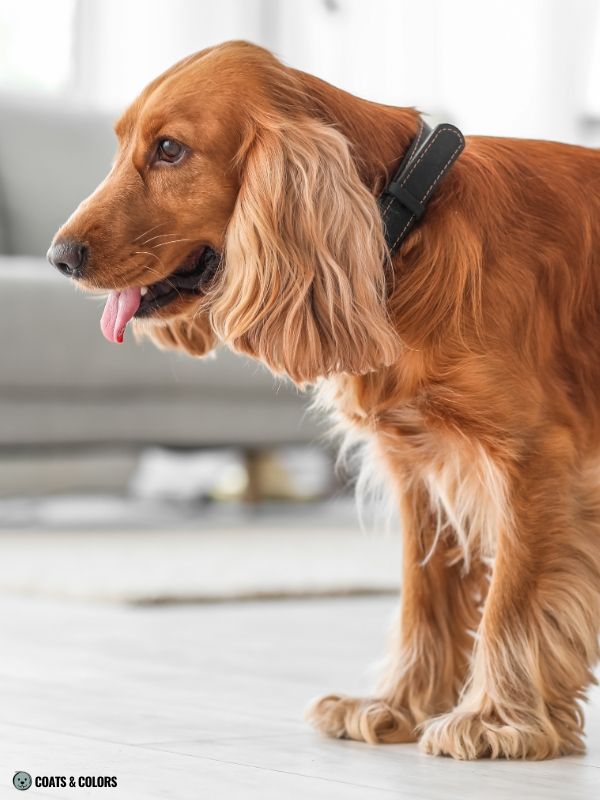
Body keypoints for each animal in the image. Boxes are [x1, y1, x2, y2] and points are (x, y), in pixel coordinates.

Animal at [48, 40, 600, 760]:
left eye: (169, 150)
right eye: (120, 145)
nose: (59, 256)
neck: (405, 221)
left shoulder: (535, 460)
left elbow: (512, 598)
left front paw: (496, 719)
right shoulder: (422, 464)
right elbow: (425, 595)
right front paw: (399, 704)